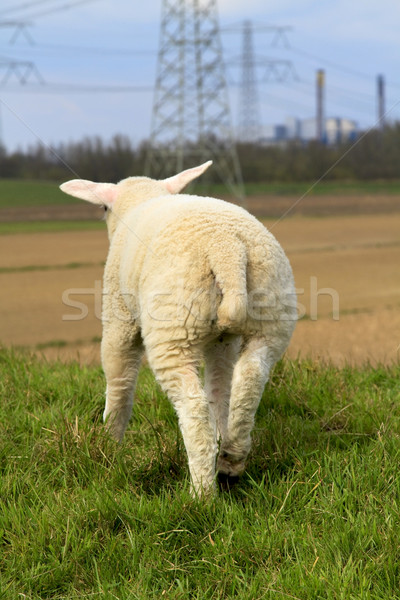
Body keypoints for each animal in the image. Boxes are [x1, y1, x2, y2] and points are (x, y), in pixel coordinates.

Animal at [60, 161, 296, 496]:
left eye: (104, 207)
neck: (144, 199)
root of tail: (227, 249)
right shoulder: (221, 340)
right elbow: (219, 388)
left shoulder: (119, 317)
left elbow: (119, 383)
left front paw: (109, 446)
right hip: (270, 315)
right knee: (246, 380)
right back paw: (231, 460)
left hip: (173, 329)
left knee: (193, 408)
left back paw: (202, 493)